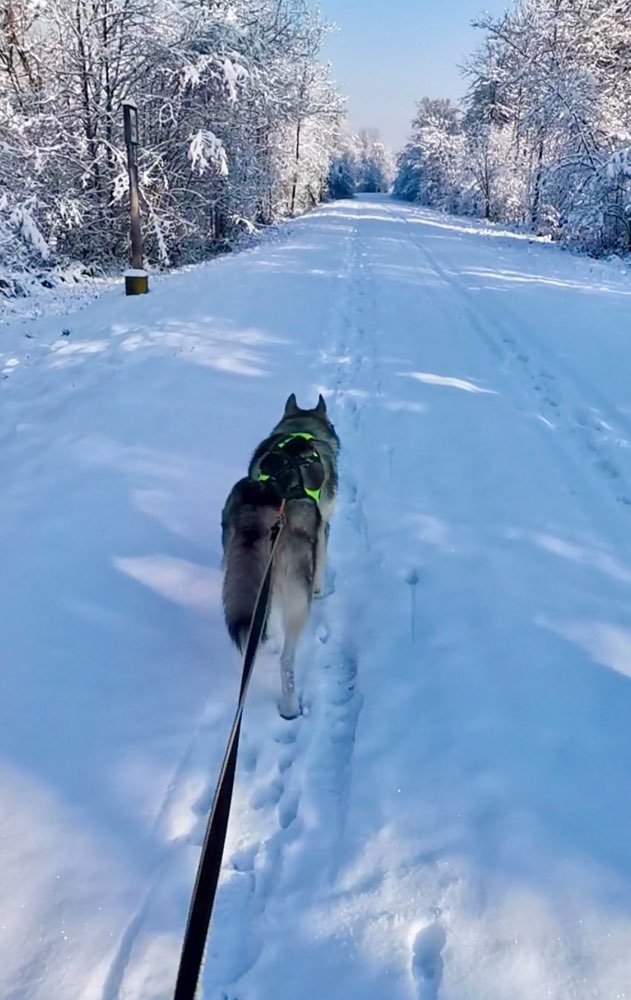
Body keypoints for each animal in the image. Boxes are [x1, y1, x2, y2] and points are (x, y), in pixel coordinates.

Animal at [222, 392, 340, 720]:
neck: (300, 429)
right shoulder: (323, 529)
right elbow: (322, 563)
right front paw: (322, 590)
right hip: (298, 601)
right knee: (286, 661)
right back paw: (289, 706)